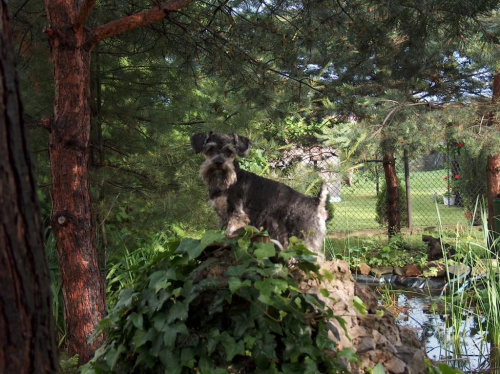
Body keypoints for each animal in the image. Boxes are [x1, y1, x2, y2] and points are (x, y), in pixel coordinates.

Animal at [190, 131, 328, 258]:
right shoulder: (223, 215)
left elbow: (229, 232)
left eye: (229, 151)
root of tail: (317, 203)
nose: (218, 162)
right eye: (210, 149)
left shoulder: (237, 215)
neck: (226, 183)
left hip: (303, 236)